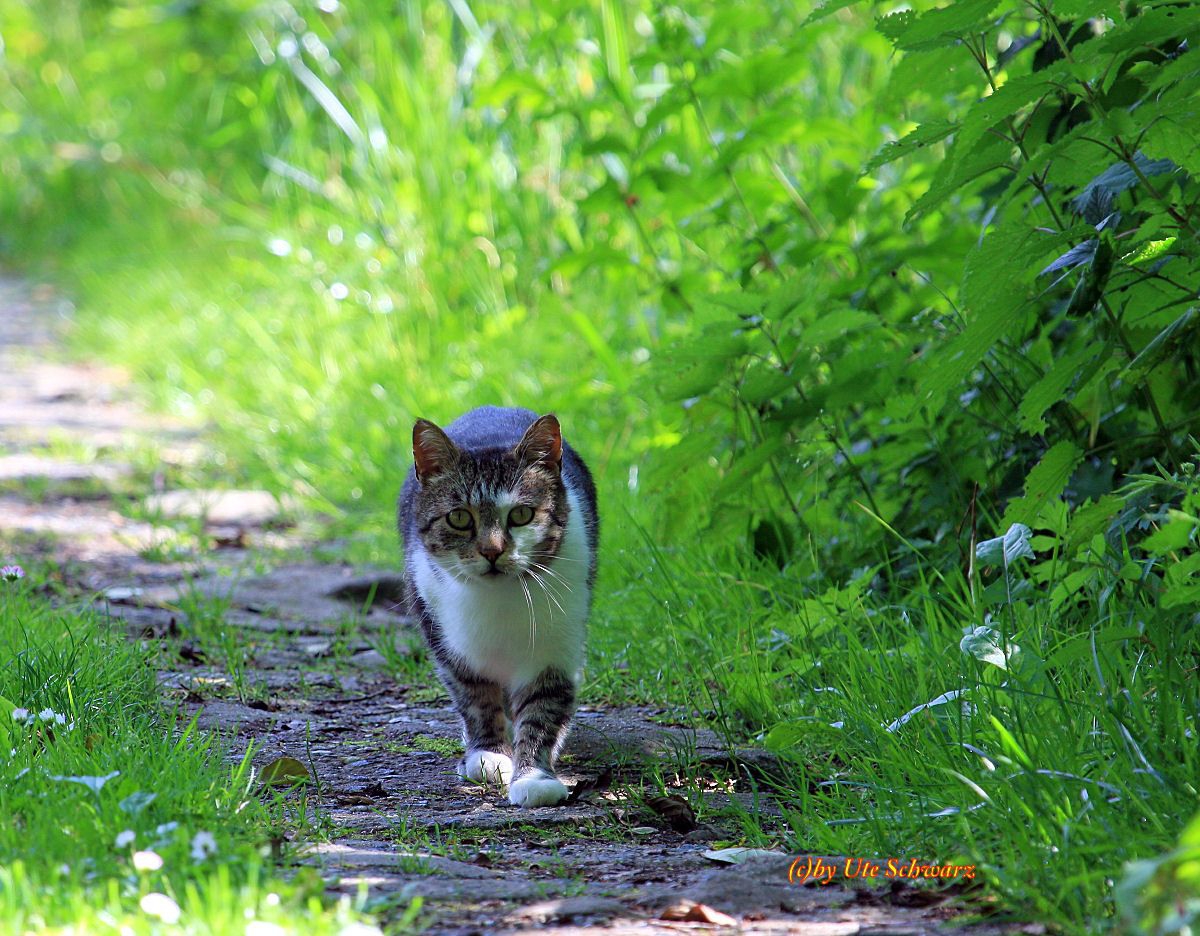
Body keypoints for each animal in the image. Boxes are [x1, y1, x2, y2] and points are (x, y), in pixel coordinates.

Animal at [398, 405, 595, 806]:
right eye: (459, 517)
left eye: (521, 514)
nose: (492, 550)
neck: (500, 600)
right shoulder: (443, 633)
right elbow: (473, 694)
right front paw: (488, 754)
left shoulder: (557, 639)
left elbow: (543, 702)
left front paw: (534, 774)